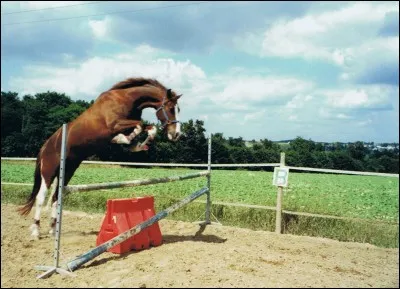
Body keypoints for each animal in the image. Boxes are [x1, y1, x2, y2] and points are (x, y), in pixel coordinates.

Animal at [16, 76, 183, 238]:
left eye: (178, 109)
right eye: (170, 109)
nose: (176, 134)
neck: (127, 99)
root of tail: (45, 146)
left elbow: (148, 127)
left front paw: (139, 144)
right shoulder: (115, 124)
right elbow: (139, 125)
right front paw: (123, 140)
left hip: (68, 169)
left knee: (56, 198)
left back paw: (52, 230)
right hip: (49, 171)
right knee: (41, 197)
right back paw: (36, 231)